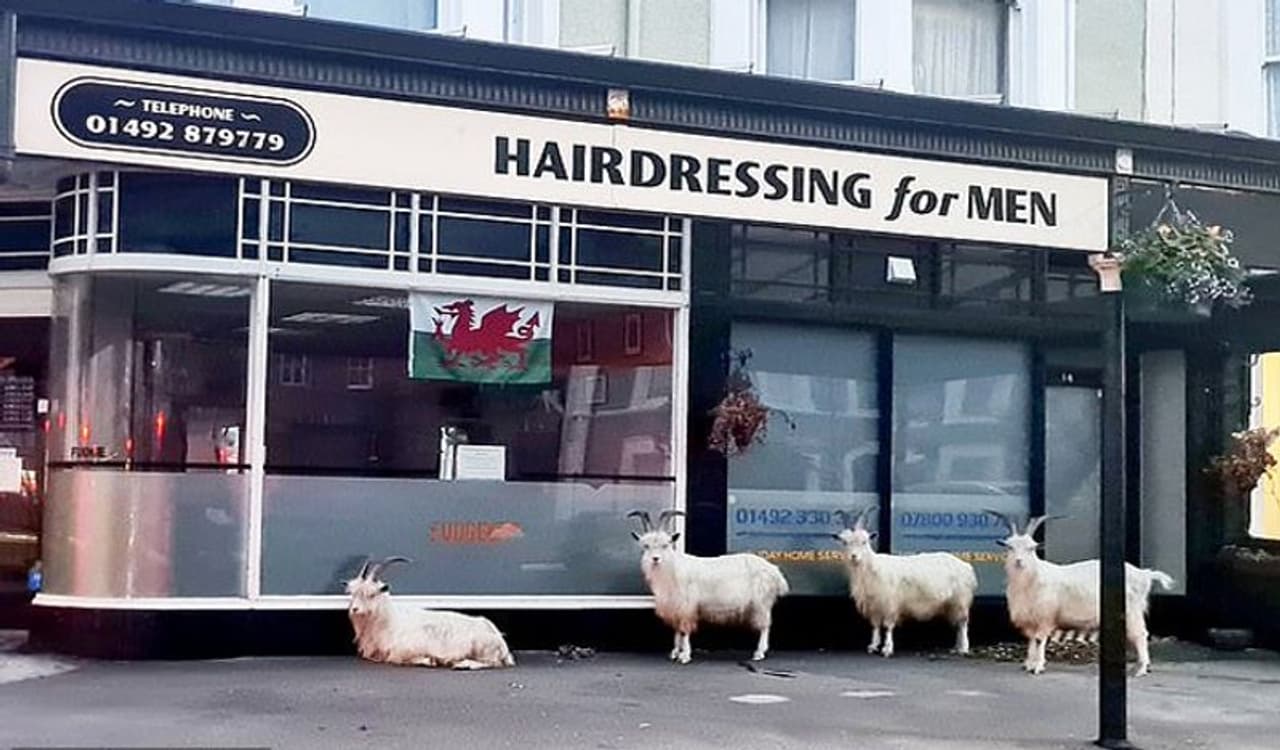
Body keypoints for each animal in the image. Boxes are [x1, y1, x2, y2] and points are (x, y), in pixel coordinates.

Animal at [345, 556, 515, 670]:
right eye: (352, 593)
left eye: (371, 594)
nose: (355, 609)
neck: (389, 620)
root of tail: (500, 641)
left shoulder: (404, 650)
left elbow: (397, 659)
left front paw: (429, 661)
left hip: (482, 648)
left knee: (491, 663)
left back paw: (462, 664)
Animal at [627, 509, 789, 664]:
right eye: (646, 546)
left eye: (665, 545)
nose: (656, 559)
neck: (673, 569)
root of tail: (775, 572)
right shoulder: (676, 606)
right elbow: (677, 629)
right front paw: (675, 652)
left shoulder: (687, 606)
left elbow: (684, 630)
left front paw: (685, 656)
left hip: (762, 602)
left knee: (765, 626)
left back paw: (759, 653)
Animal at [831, 506, 978, 658]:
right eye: (844, 542)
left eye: (864, 541)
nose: (854, 556)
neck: (873, 567)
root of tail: (966, 566)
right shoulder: (874, 605)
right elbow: (875, 626)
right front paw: (873, 646)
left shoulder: (890, 604)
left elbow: (888, 626)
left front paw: (887, 649)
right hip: (951, 603)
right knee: (958, 625)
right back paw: (956, 647)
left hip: (961, 599)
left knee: (963, 623)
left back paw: (964, 648)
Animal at [985, 511, 1175, 677]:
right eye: (1010, 547)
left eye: (1031, 548)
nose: (1019, 561)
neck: (1034, 577)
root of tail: (1144, 574)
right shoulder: (1031, 618)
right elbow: (1032, 640)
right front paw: (1029, 664)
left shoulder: (1046, 616)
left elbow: (1040, 640)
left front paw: (1038, 667)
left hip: (1132, 611)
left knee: (1140, 635)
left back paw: (1141, 670)